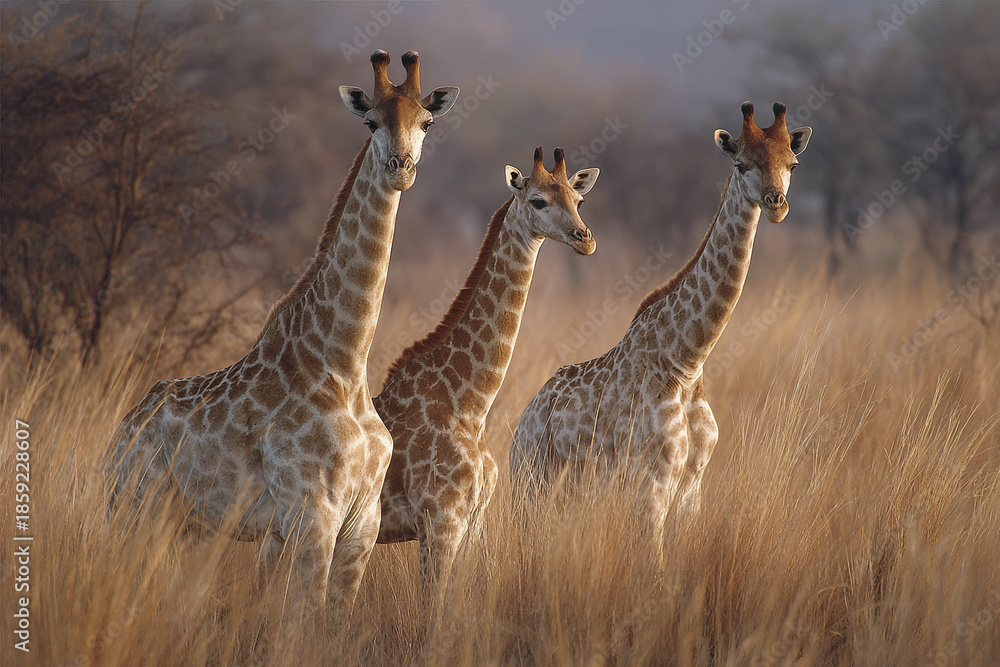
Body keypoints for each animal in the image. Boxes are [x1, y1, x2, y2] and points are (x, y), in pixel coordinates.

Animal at [108, 50, 458, 618]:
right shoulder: (314, 517)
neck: (343, 363)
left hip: (186, 526)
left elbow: (332, 623)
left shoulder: (361, 525)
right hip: (131, 508)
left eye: (426, 122)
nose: (400, 168)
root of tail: (120, 431)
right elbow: (304, 622)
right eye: (370, 121)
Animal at [374, 147, 599, 604]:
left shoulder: (472, 524)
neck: (469, 403)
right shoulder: (440, 523)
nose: (585, 239)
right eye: (538, 201)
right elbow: (432, 612)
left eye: (579, 200)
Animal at [510, 102, 811, 534]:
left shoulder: (691, 488)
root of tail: (525, 418)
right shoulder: (651, 484)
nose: (776, 204)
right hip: (530, 483)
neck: (687, 361)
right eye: (740, 164)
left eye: (793, 163)